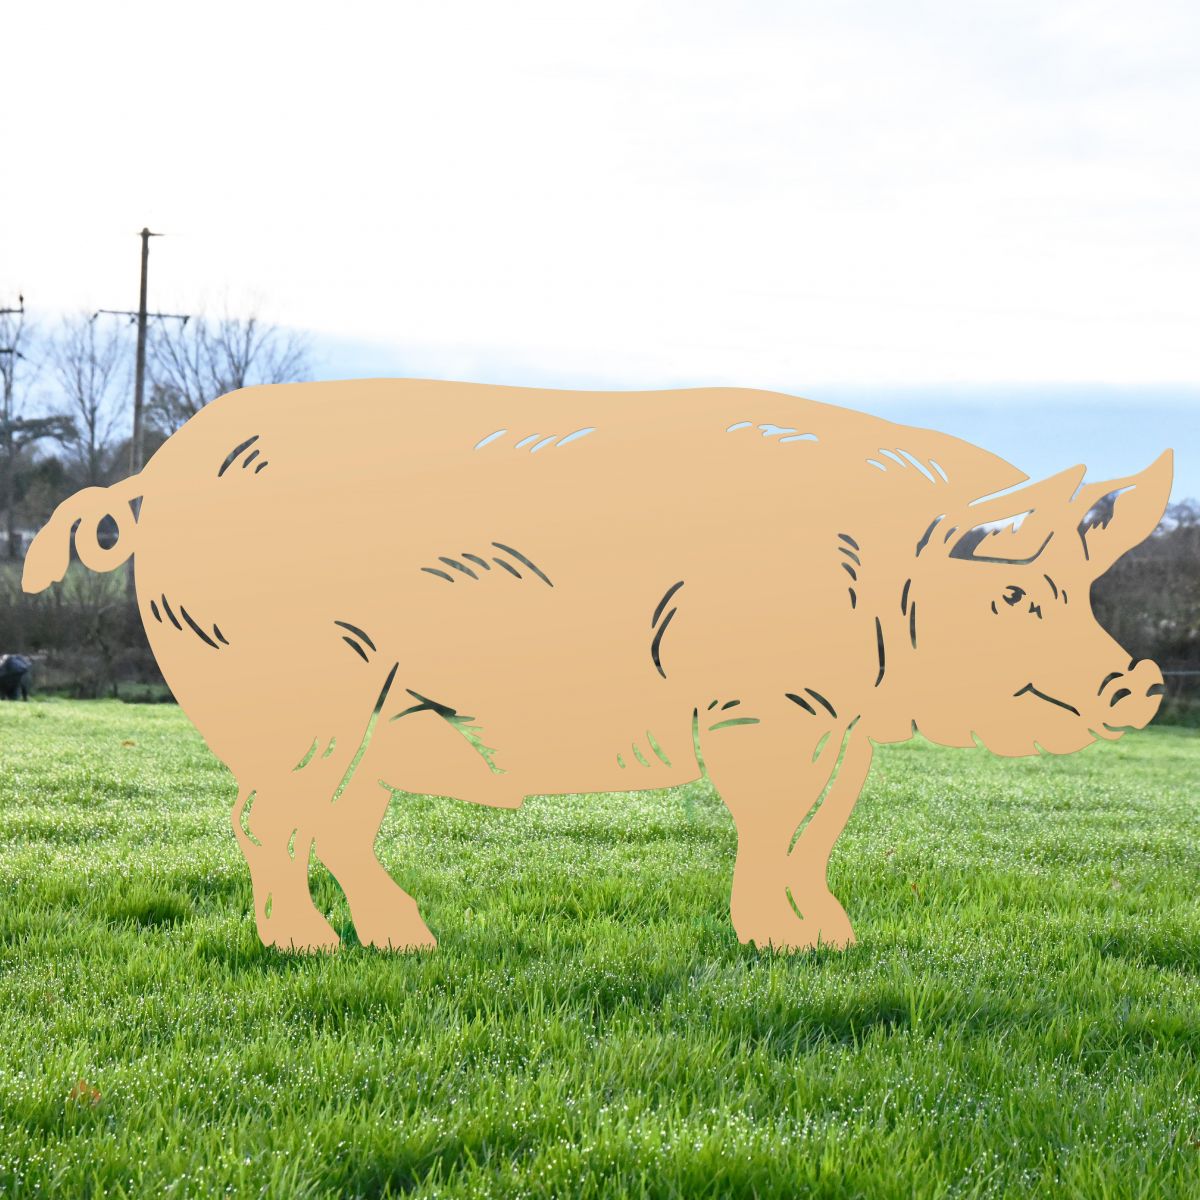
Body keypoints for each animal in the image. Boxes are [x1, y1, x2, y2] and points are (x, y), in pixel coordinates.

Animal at [22, 380, 1172, 954]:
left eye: (1082, 590)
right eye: (1016, 596)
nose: (1142, 682)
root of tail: (154, 480)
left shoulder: (840, 724)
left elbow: (817, 832)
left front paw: (834, 945)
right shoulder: (761, 701)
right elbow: (767, 826)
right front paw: (780, 948)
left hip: (388, 713)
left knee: (336, 826)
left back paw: (407, 947)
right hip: (303, 693)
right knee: (267, 819)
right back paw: (307, 951)